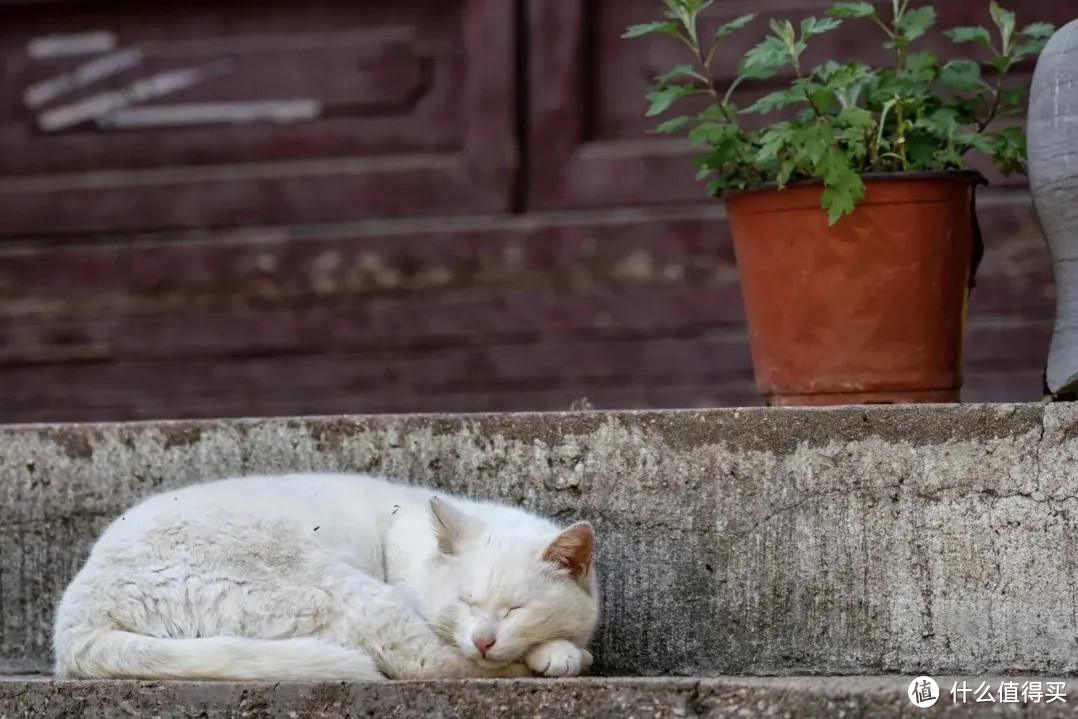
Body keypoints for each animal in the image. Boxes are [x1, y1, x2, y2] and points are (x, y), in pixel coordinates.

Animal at [52, 474, 599, 685]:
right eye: (466, 601)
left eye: (515, 610)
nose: (484, 639)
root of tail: (75, 619)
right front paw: (560, 651)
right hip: (336, 586)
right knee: (424, 661)